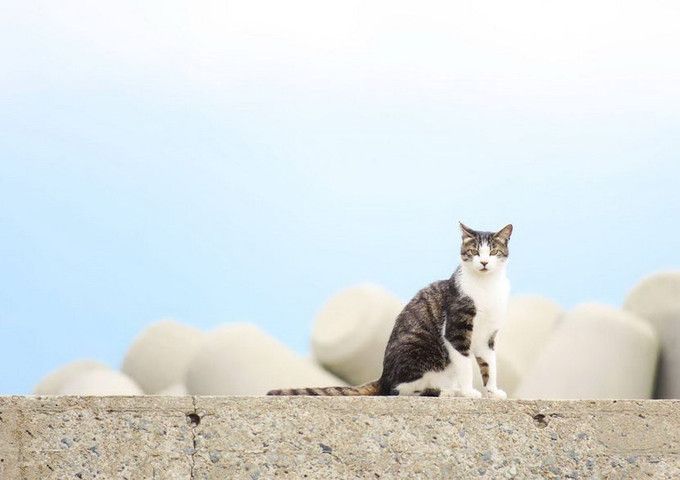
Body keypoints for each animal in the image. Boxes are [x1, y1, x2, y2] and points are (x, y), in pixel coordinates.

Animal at [268, 223, 512, 400]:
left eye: (493, 252)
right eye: (474, 252)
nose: (483, 262)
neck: (486, 286)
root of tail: (383, 376)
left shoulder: (487, 337)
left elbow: (489, 365)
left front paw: (493, 392)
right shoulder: (456, 330)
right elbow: (465, 364)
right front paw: (469, 391)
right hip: (417, 347)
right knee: (400, 390)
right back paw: (447, 391)